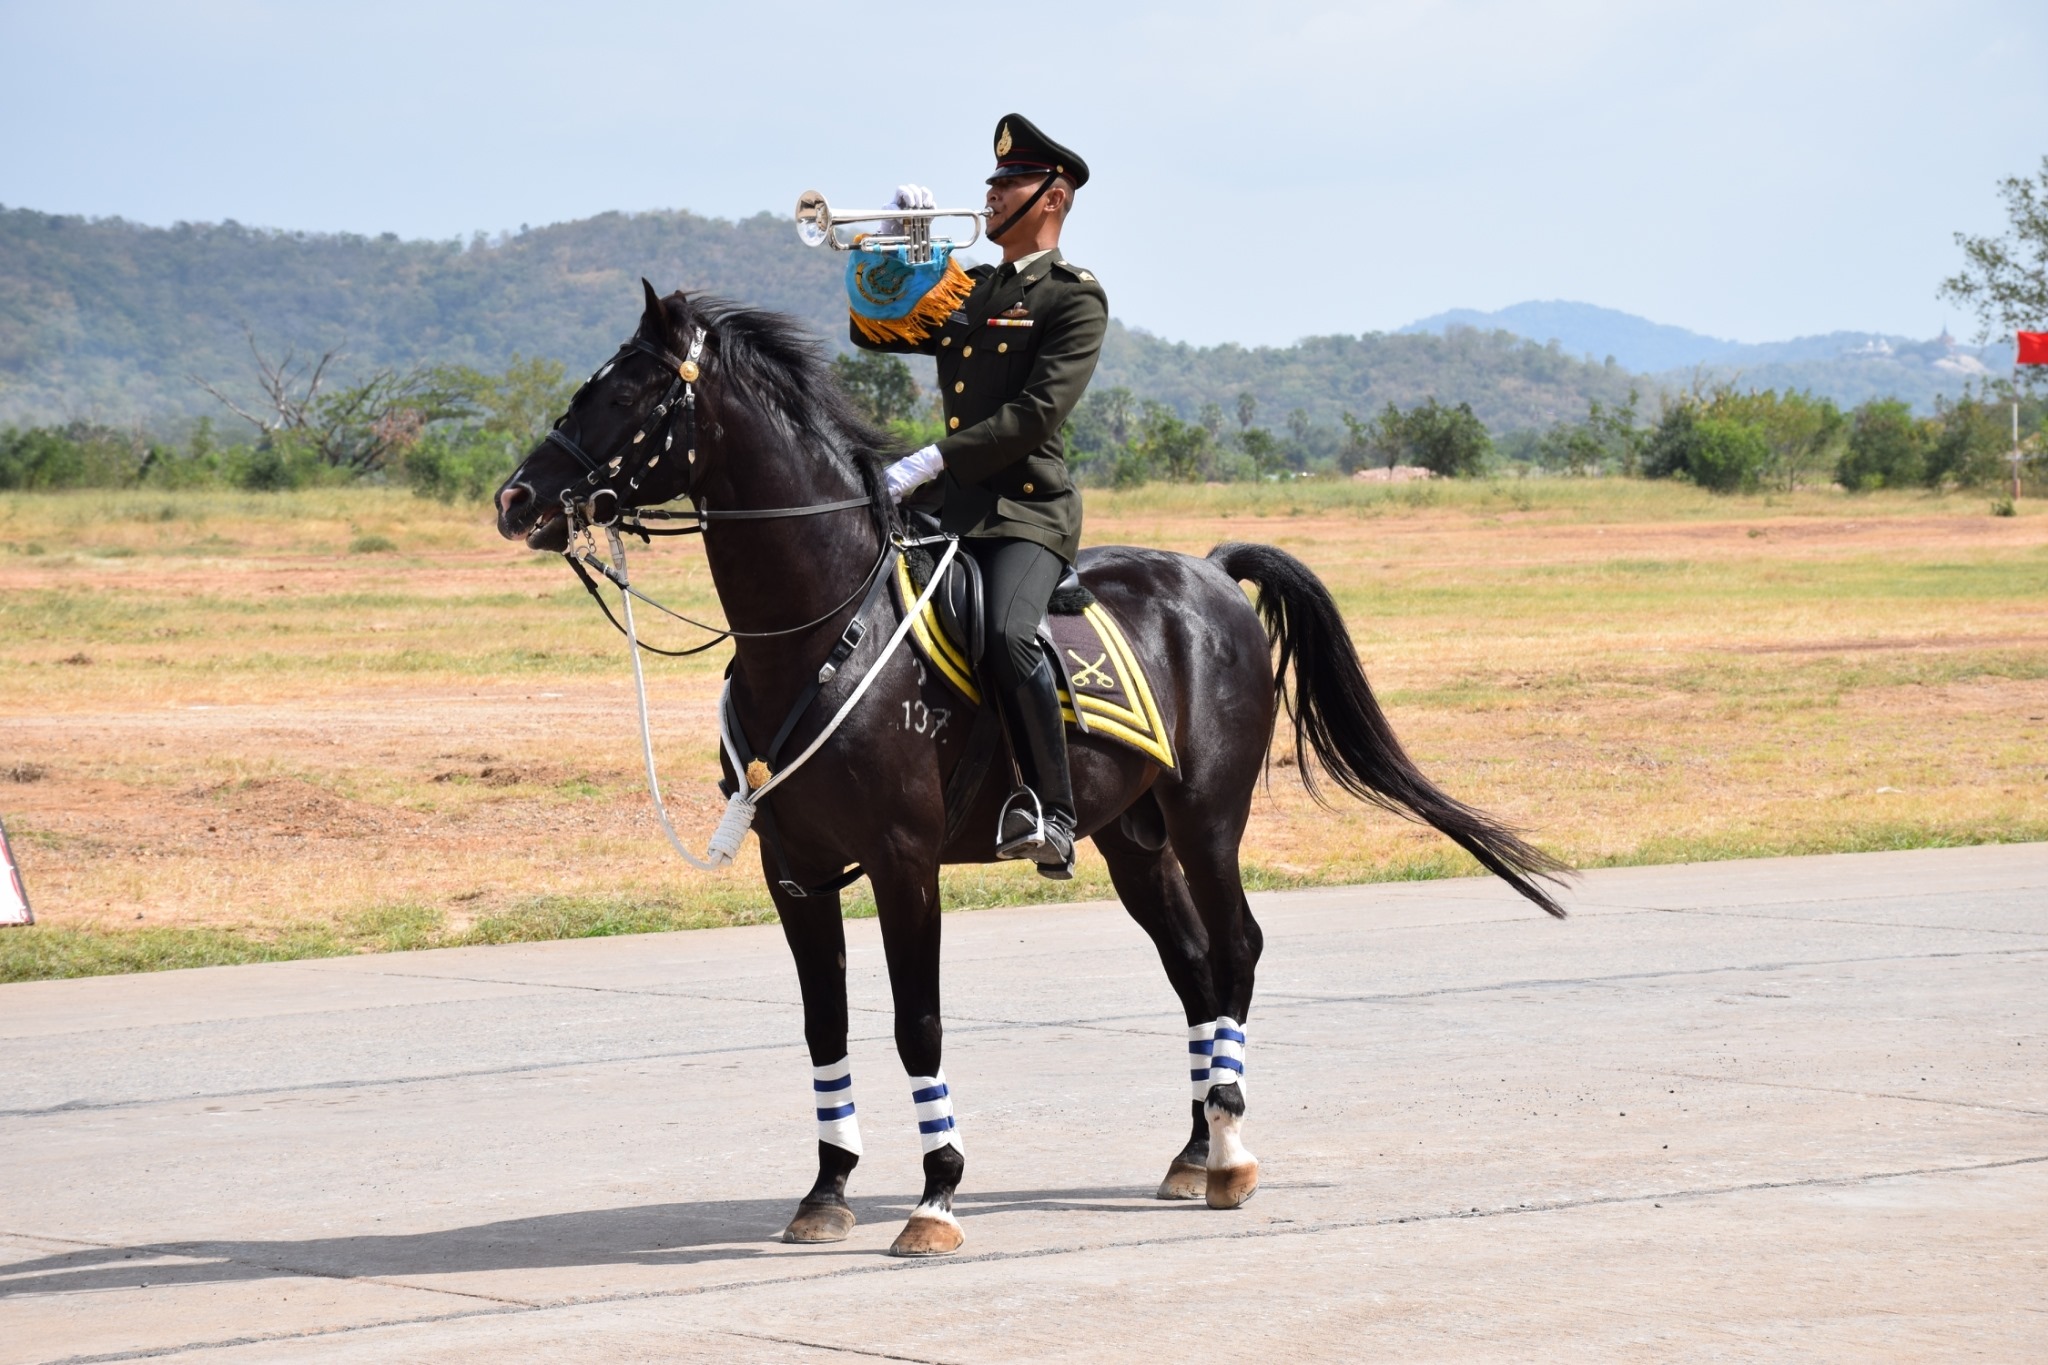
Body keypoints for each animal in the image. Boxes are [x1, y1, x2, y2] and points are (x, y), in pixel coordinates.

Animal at [495, 286, 1564, 1260]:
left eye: (627, 395)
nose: (516, 500)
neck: (822, 630)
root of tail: (1212, 570)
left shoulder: (904, 861)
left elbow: (917, 1024)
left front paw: (936, 1194)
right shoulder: (793, 868)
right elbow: (823, 1026)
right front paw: (829, 1188)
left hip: (1207, 818)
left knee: (1236, 949)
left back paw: (1229, 1149)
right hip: (1135, 838)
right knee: (1192, 964)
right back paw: (1191, 1149)